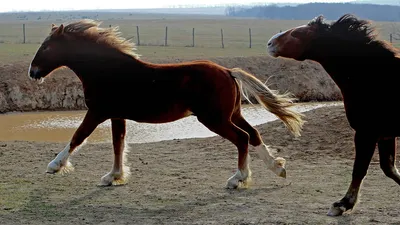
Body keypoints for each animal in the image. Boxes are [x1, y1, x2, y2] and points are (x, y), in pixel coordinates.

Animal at [28, 18, 304, 188]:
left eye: (47, 46)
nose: (32, 72)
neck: (107, 70)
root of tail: (228, 71)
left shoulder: (98, 112)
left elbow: (78, 136)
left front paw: (55, 166)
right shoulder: (117, 115)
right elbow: (118, 144)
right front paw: (114, 176)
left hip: (213, 118)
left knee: (242, 138)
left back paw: (238, 179)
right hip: (231, 114)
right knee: (253, 134)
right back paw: (277, 168)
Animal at [268, 13, 400, 216]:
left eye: (297, 33)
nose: (270, 43)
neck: (375, 79)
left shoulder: (366, 133)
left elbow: (359, 170)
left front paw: (343, 204)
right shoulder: (384, 135)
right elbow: (390, 169)